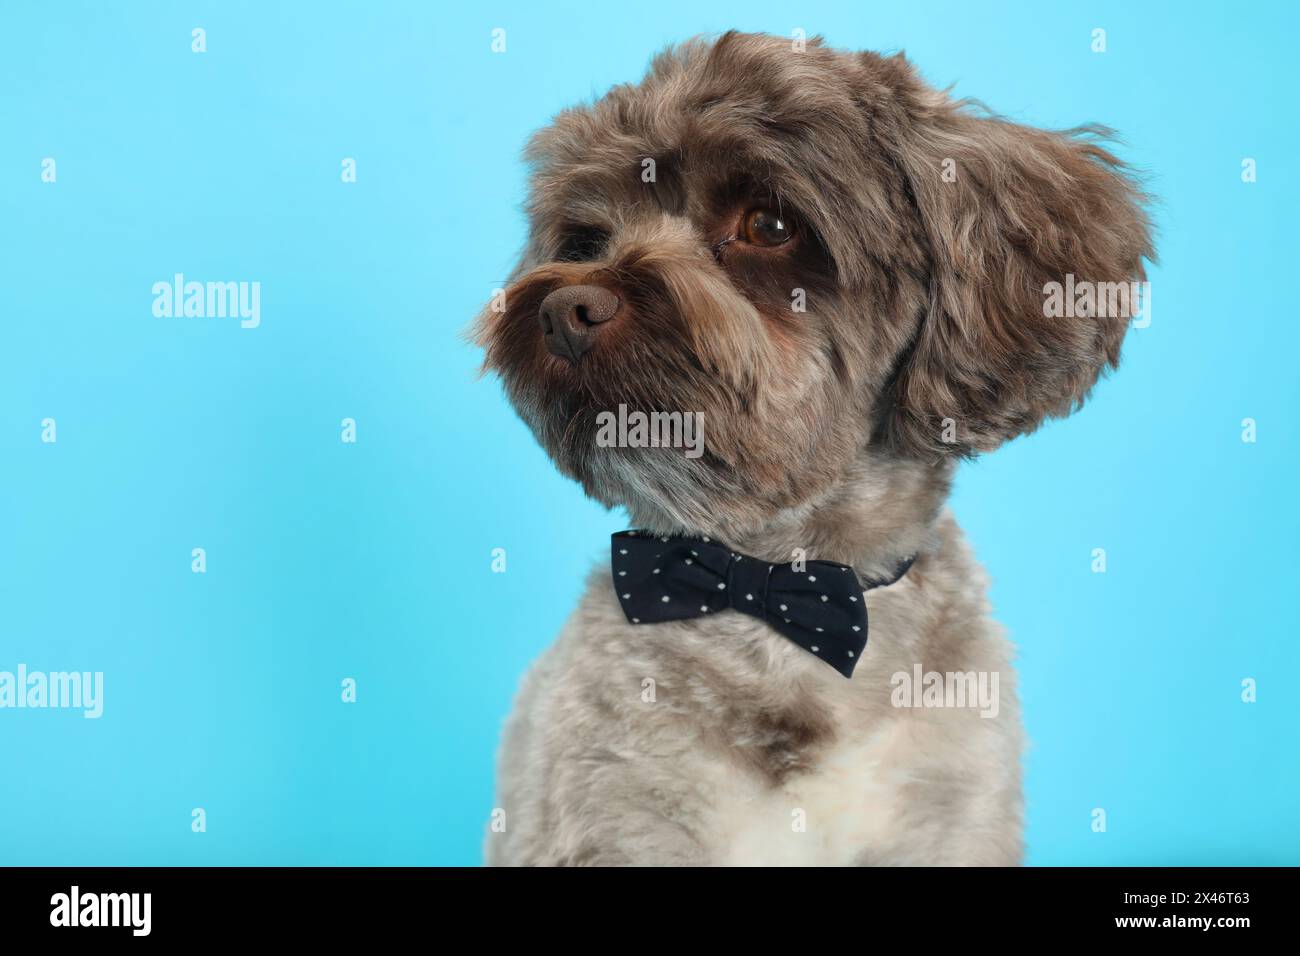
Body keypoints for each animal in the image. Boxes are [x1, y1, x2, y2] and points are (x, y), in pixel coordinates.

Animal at [473, 31, 1154, 868]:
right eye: (587, 239)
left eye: (768, 226)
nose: (566, 309)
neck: (776, 579)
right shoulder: (616, 820)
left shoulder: (951, 818)